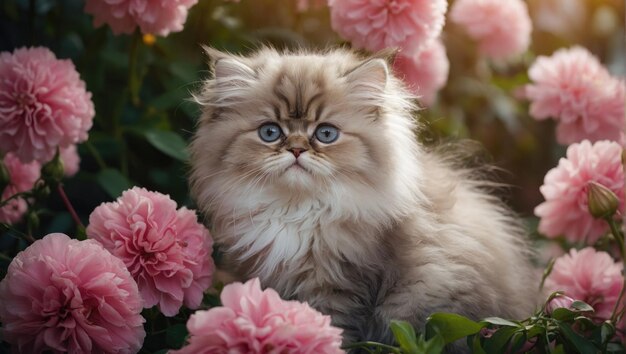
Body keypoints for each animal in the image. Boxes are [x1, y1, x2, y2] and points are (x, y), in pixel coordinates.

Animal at [189, 46, 536, 348]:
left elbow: (334, 329)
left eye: (326, 134)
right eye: (270, 132)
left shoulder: (340, 287)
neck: (298, 210)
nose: (297, 149)